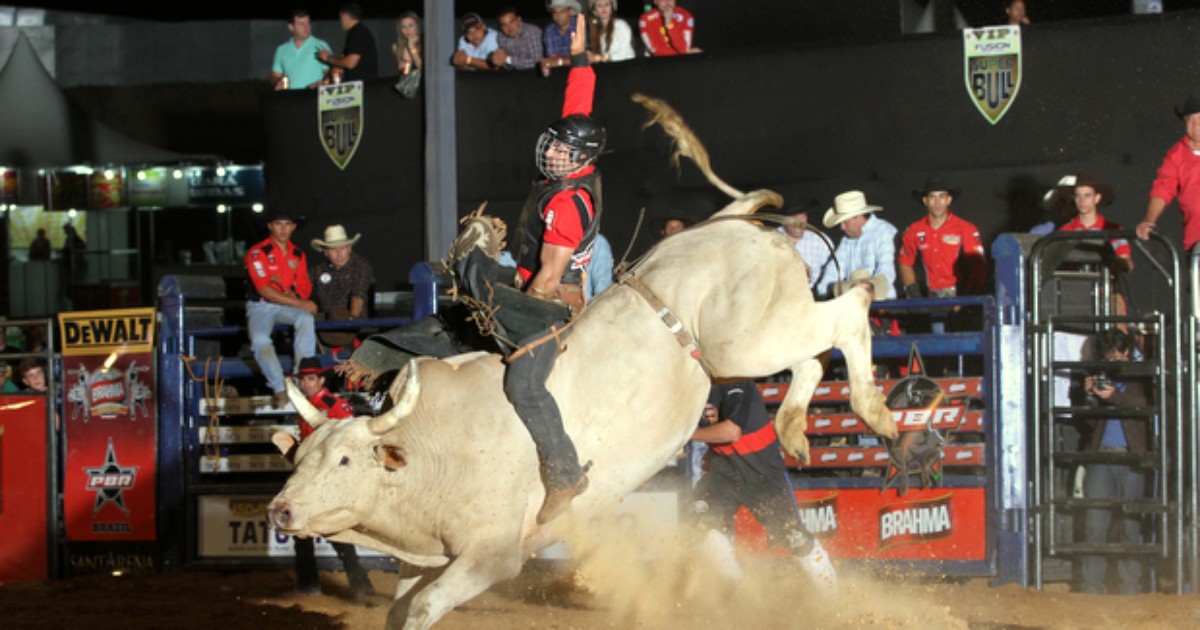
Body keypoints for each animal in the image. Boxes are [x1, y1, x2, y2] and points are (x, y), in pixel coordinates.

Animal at [267, 94, 897, 628]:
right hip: (751, 346)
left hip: (747, 338)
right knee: (812, 358)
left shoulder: (491, 555)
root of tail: (732, 223)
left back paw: (876, 412)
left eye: (345, 460)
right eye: (298, 456)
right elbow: (401, 610)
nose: (280, 511)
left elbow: (424, 609)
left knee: (849, 312)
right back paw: (793, 432)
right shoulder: (425, 557)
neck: (433, 448)